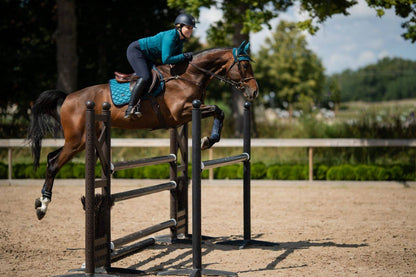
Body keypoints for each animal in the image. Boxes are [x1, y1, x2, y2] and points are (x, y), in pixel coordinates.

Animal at [28, 40, 256, 220]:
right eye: (245, 65)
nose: (254, 92)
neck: (187, 76)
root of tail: (67, 97)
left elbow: (219, 112)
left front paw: (210, 139)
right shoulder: (181, 112)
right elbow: (217, 109)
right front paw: (208, 140)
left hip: (79, 141)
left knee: (50, 157)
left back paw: (40, 202)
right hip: (78, 140)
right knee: (53, 164)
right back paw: (43, 206)